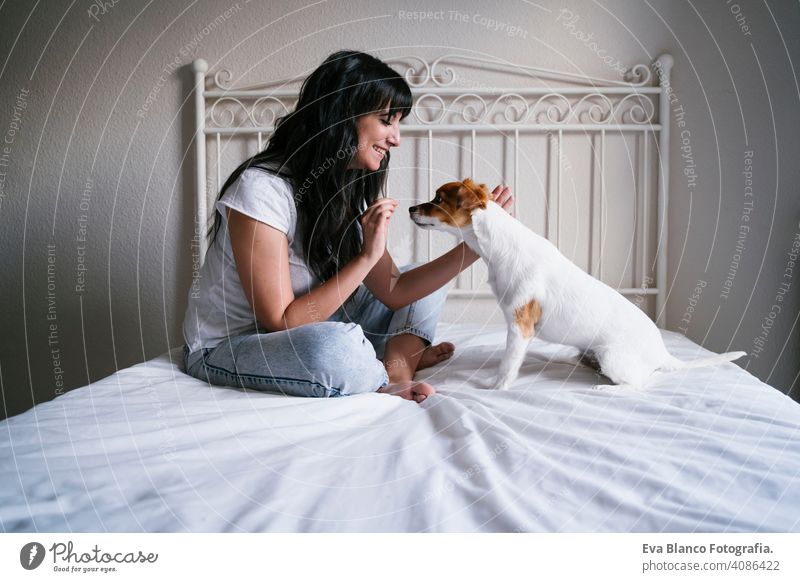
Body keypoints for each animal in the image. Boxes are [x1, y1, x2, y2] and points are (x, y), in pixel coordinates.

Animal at [410, 178, 748, 388]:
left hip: (613, 358)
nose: (411, 208)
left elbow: (508, 366)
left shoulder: (520, 327)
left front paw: (495, 387)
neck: (499, 246)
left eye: (438, 199)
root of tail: (664, 353)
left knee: (638, 384)